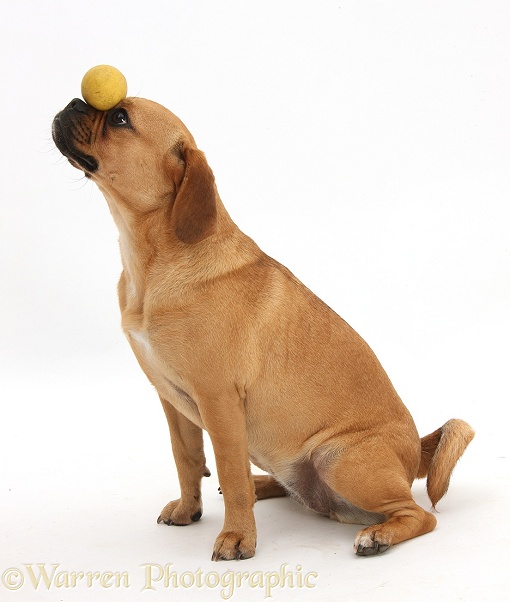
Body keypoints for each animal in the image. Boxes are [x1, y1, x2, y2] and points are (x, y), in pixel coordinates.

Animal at [52, 95, 474, 556]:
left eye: (119, 118)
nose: (73, 101)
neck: (153, 263)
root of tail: (417, 450)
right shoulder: (173, 403)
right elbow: (187, 461)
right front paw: (188, 509)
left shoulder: (218, 401)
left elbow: (229, 473)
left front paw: (237, 536)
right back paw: (267, 485)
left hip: (338, 459)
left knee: (419, 515)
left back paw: (378, 534)